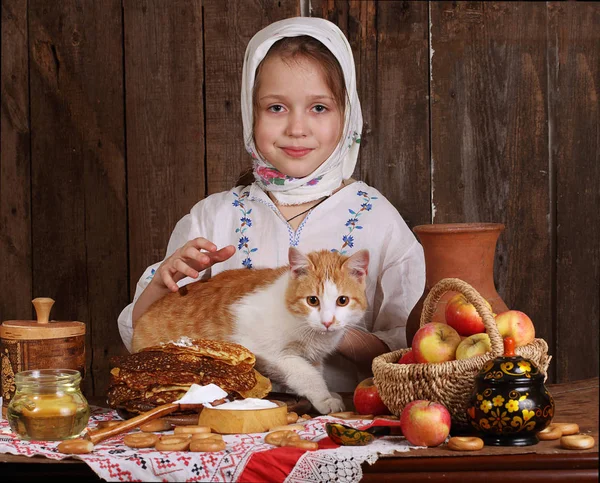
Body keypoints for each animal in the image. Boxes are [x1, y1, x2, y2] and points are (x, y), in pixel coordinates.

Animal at [133, 248, 368, 414]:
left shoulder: (314, 357)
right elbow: (306, 374)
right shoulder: (273, 354)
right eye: (312, 300)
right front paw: (324, 397)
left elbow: (314, 371)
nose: (328, 321)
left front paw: (326, 394)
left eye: (342, 301)